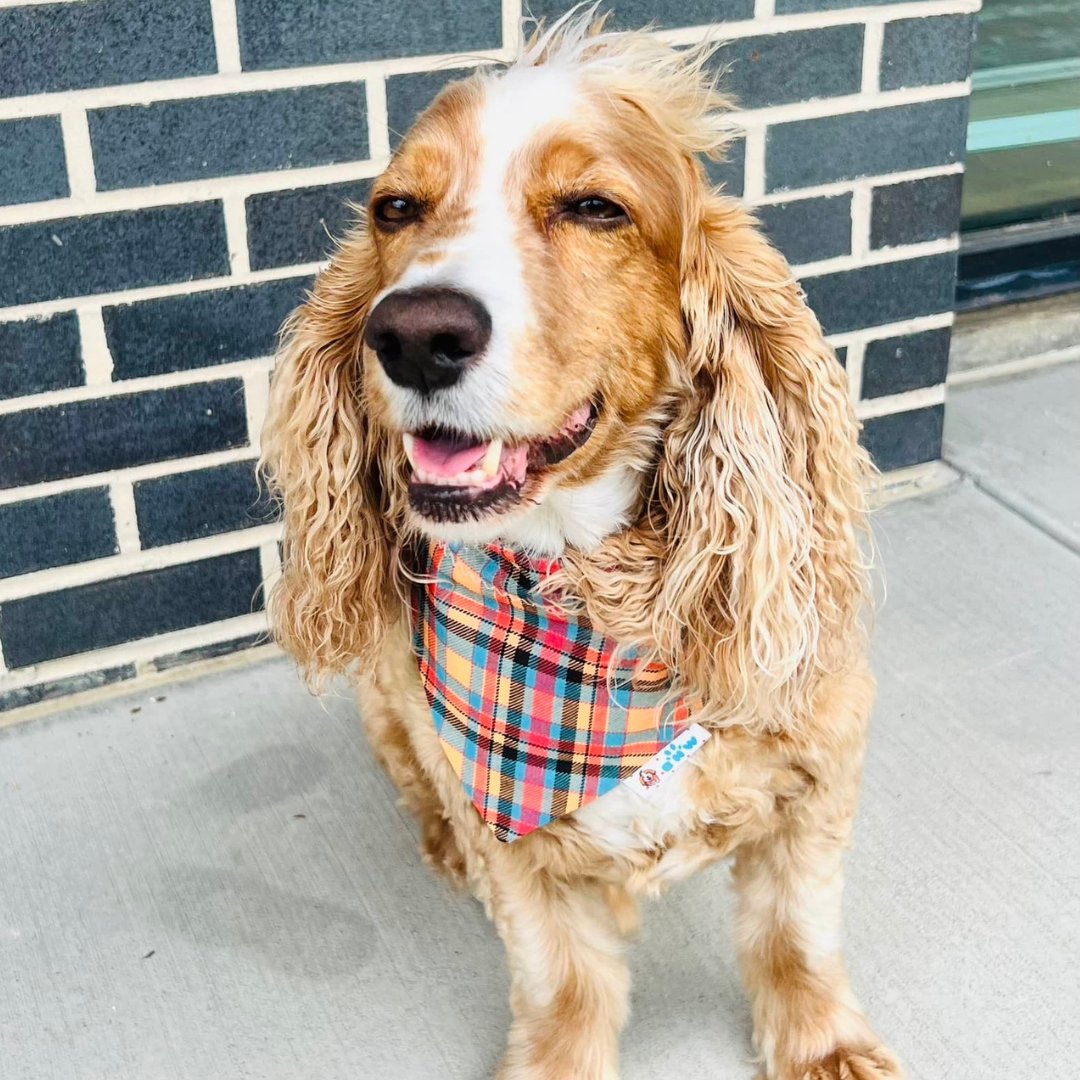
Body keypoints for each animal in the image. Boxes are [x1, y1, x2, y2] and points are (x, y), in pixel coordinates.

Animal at [261, 10, 902, 1080]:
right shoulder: (516, 849)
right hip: (389, 711)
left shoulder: (819, 773)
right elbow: (563, 981)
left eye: (596, 208)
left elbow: (795, 932)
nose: (414, 334)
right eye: (396, 209)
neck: (593, 610)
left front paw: (826, 1046)